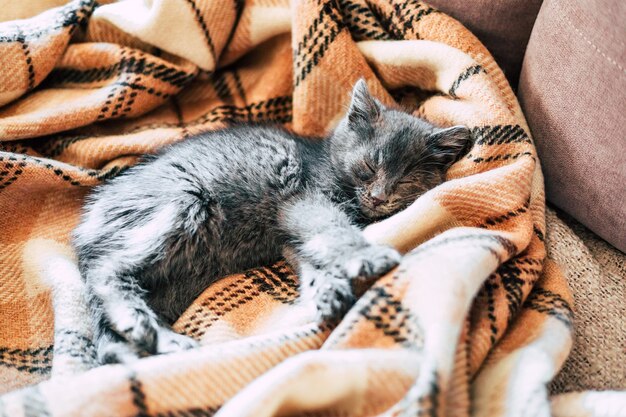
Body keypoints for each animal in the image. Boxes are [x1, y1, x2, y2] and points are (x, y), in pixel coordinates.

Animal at [73, 79, 470, 362]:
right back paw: (141, 323)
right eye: (369, 166)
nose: (379, 196)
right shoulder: (304, 202)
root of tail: (88, 219)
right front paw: (365, 257)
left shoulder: (290, 233)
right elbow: (333, 231)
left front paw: (326, 290)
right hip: (183, 202)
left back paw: (159, 341)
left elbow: (310, 255)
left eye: (405, 180)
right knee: (107, 270)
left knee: (109, 338)